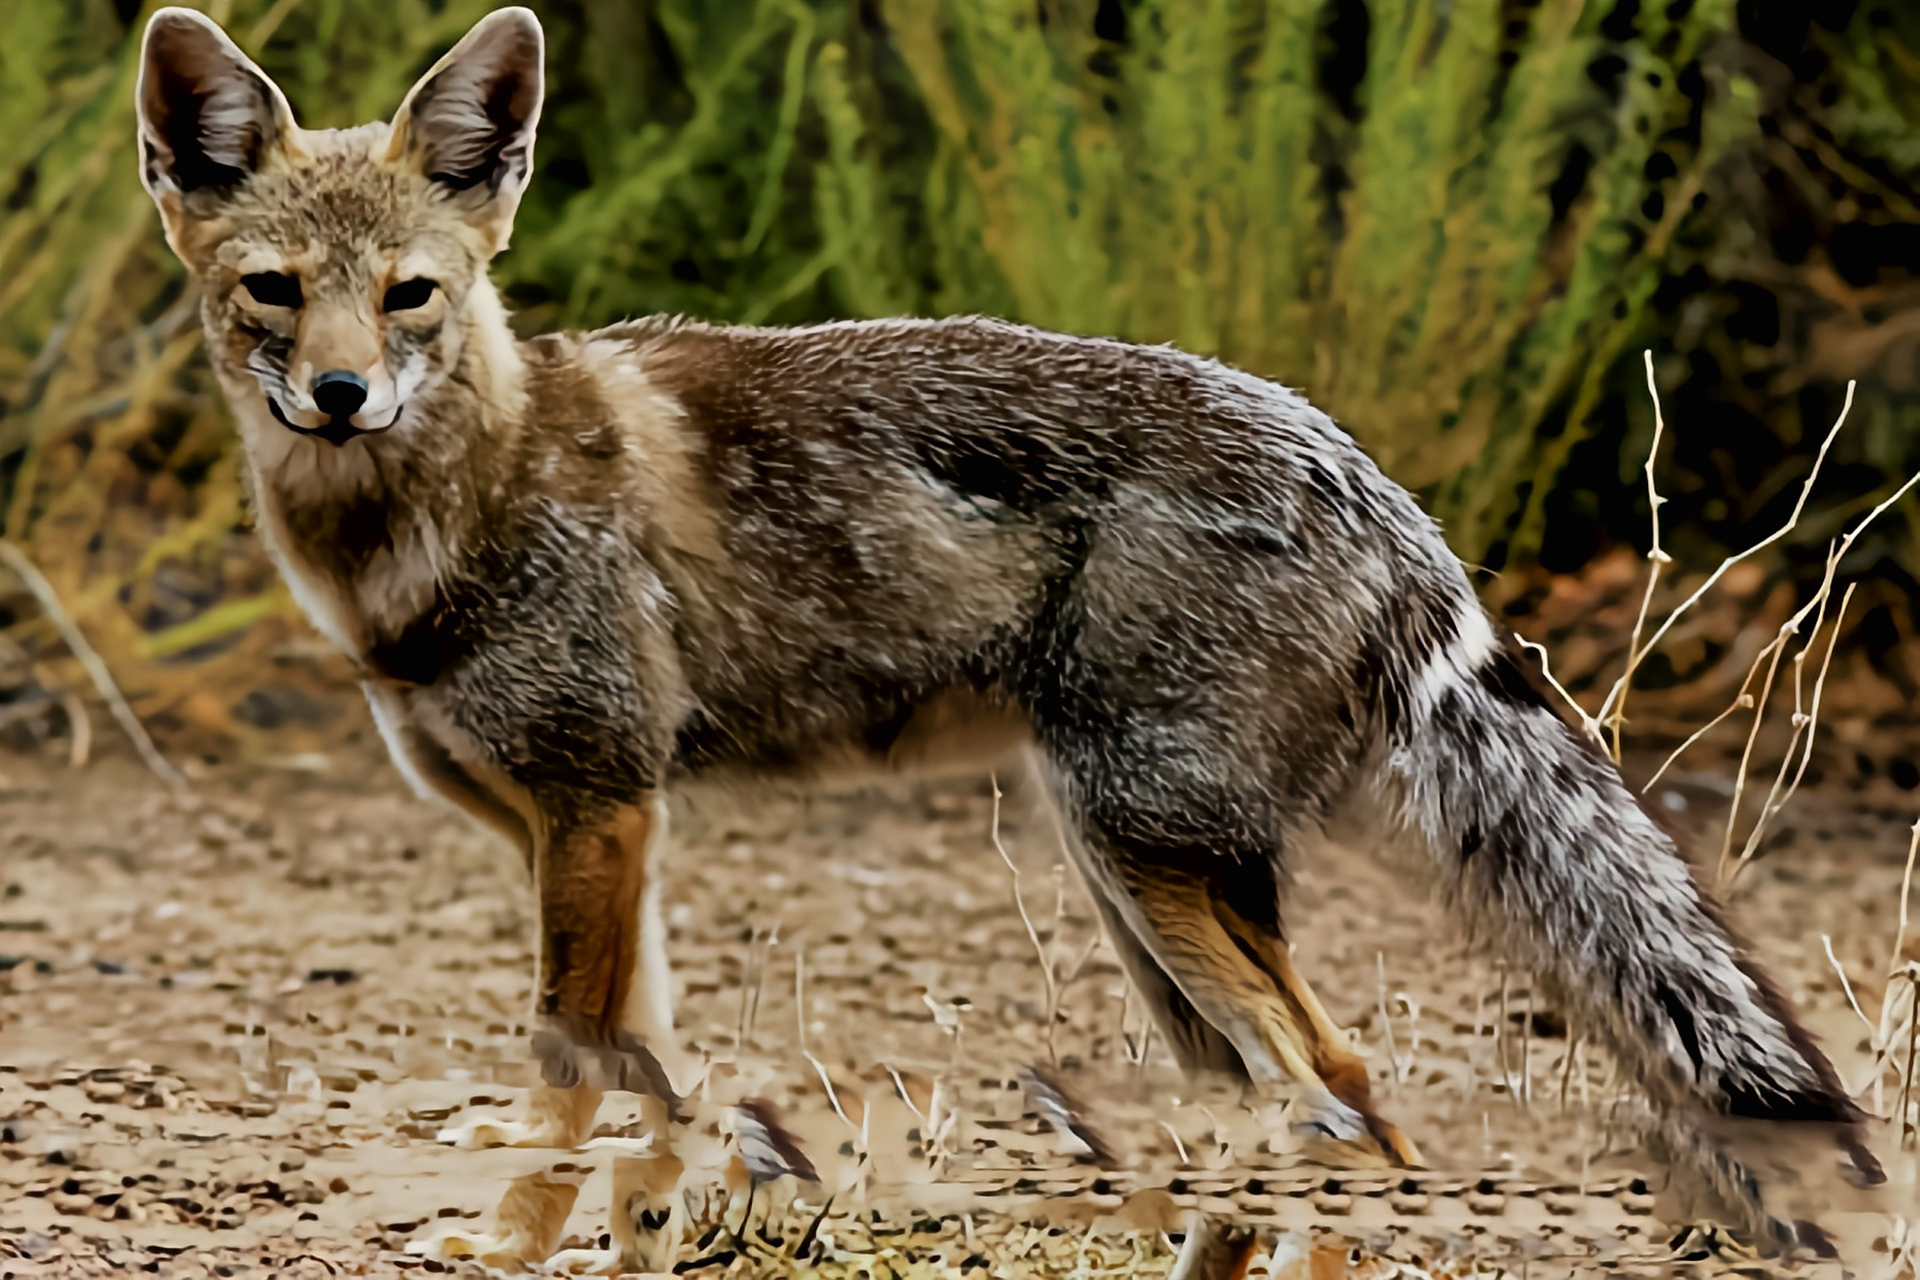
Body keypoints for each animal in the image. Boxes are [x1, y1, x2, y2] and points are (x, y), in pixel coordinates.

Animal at [139, 5, 1889, 1274]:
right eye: (276, 292)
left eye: (412, 296)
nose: (340, 395)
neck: (445, 517)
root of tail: (1375, 483)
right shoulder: (599, 830)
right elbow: (653, 1097)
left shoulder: (592, 805)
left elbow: (571, 1078)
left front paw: (508, 1230)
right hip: (1143, 899)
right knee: (1299, 1112)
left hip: (1142, 862)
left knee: (1340, 1103)